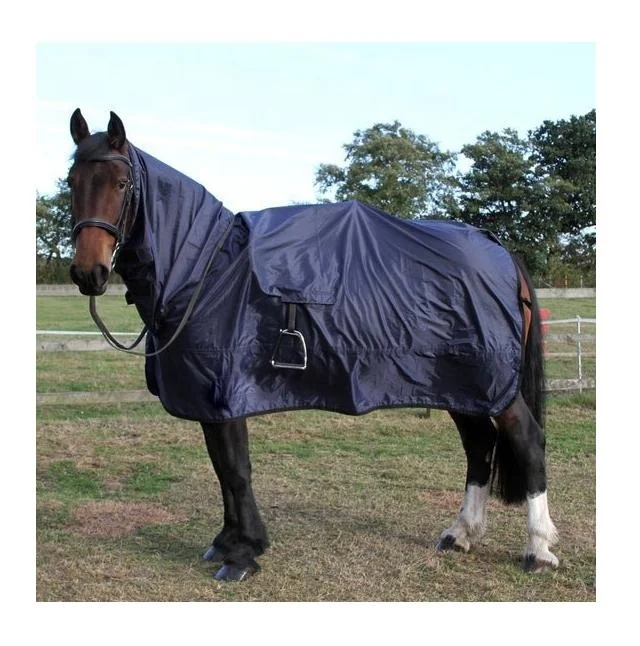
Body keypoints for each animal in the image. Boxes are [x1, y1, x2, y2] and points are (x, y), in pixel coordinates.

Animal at [66, 108, 559, 582]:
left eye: (122, 183)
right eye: (72, 181)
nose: (88, 272)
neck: (205, 269)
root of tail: (498, 250)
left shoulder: (225, 390)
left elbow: (236, 469)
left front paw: (243, 554)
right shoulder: (209, 398)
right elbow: (221, 467)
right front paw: (227, 542)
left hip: (492, 383)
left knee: (527, 439)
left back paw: (538, 550)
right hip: (460, 386)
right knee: (479, 446)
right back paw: (460, 534)